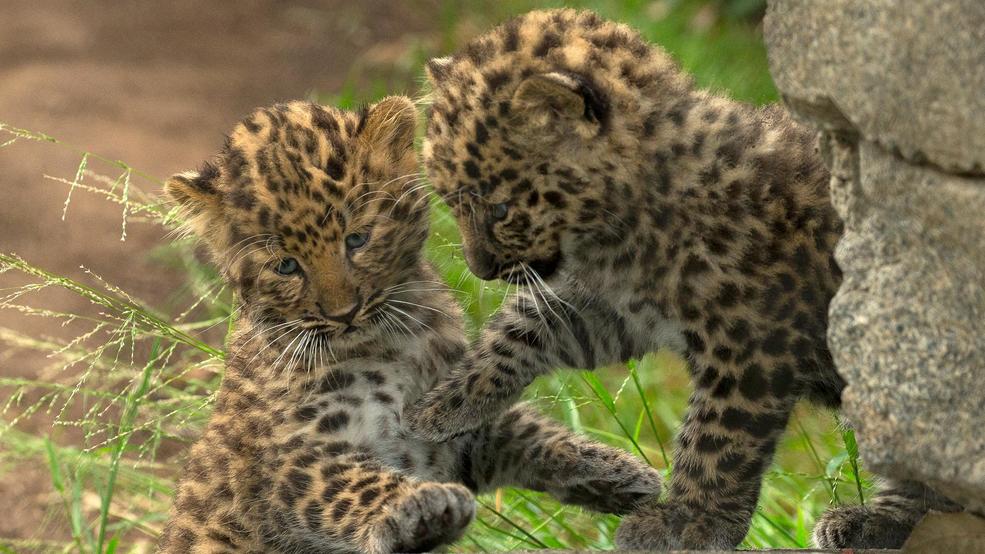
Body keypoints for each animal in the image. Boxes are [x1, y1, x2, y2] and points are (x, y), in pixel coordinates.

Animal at [156, 98, 664, 553]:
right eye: (285, 266)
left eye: (357, 239)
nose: (344, 313)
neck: (391, 343)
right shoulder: (290, 460)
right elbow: (355, 484)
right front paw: (420, 510)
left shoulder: (445, 436)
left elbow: (522, 431)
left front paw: (618, 472)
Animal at [404, 8, 962, 550]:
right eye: (451, 201)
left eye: (499, 209)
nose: (479, 269)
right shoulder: (611, 309)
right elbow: (521, 332)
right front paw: (443, 404)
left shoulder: (750, 341)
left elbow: (718, 436)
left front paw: (688, 521)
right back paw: (874, 522)